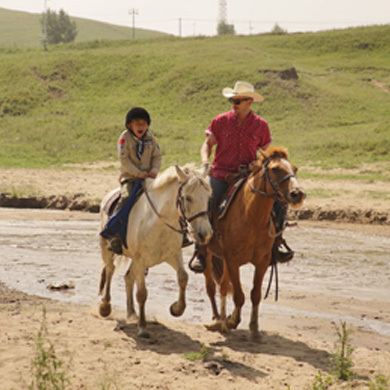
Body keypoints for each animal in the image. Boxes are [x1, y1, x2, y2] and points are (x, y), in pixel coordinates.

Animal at [99, 163, 212, 336]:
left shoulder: (172, 254)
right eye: (188, 198)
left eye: (208, 197)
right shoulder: (140, 259)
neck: (158, 221)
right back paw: (105, 306)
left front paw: (176, 309)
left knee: (128, 277)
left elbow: (183, 277)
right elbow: (142, 293)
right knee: (110, 271)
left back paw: (132, 313)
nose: (204, 234)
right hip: (107, 249)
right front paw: (143, 327)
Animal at [203, 145, 306, 338]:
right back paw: (216, 319)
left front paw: (253, 327)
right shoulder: (233, 261)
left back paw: (222, 320)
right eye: (275, 169)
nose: (298, 194)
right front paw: (233, 321)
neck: (251, 218)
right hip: (208, 255)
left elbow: (254, 294)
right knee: (212, 287)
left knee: (223, 286)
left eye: (295, 169)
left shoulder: (262, 261)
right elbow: (239, 295)